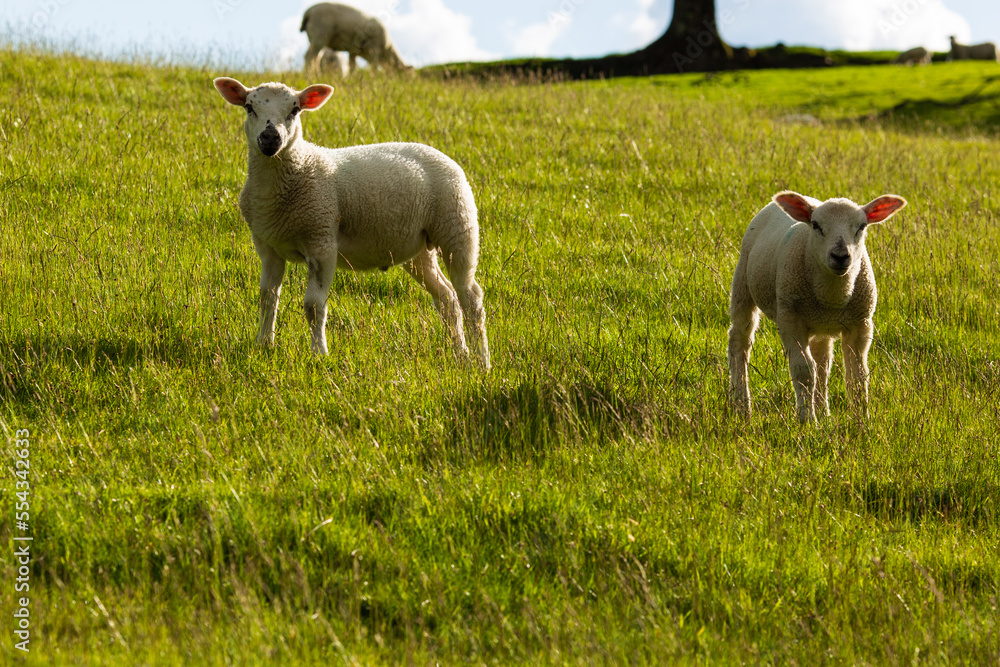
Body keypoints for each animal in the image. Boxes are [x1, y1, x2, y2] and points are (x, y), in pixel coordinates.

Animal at [212, 77, 490, 369]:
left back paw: (481, 361)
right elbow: (267, 297)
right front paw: (264, 345)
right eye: (249, 107)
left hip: (457, 226)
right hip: (418, 248)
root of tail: (443, 155)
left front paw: (319, 354)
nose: (269, 138)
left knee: (471, 297)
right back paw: (460, 353)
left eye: (295, 110)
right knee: (447, 298)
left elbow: (313, 306)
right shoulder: (267, 246)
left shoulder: (322, 240)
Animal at [728, 191, 907, 423]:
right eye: (816, 225)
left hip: (821, 325)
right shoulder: (790, 318)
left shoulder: (861, 323)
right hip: (743, 284)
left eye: (862, 226)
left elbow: (857, 375)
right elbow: (803, 370)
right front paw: (807, 419)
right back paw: (742, 405)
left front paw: (861, 420)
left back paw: (823, 411)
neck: (832, 296)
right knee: (740, 342)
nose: (840, 256)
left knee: (822, 362)